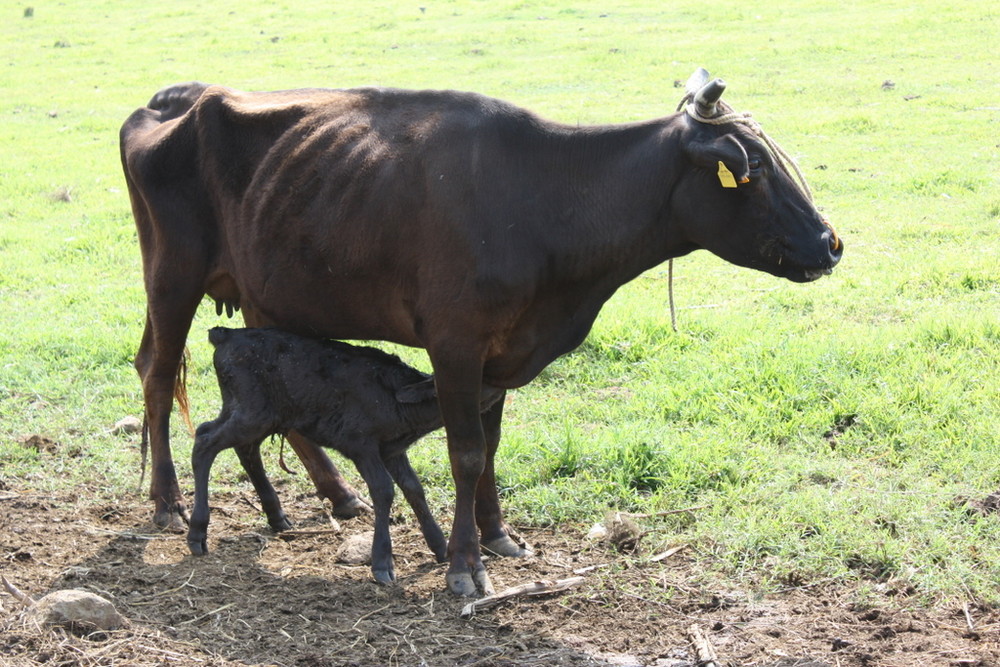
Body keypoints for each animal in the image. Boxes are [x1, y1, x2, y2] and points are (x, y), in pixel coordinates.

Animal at [188, 328, 504, 584]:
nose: (499, 383)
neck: (394, 397)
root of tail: (225, 334)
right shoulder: (361, 444)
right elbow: (384, 490)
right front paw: (382, 563)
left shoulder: (392, 450)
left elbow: (414, 488)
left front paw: (439, 546)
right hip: (251, 412)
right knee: (204, 441)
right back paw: (197, 533)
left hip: (256, 414)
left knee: (240, 446)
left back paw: (277, 518)